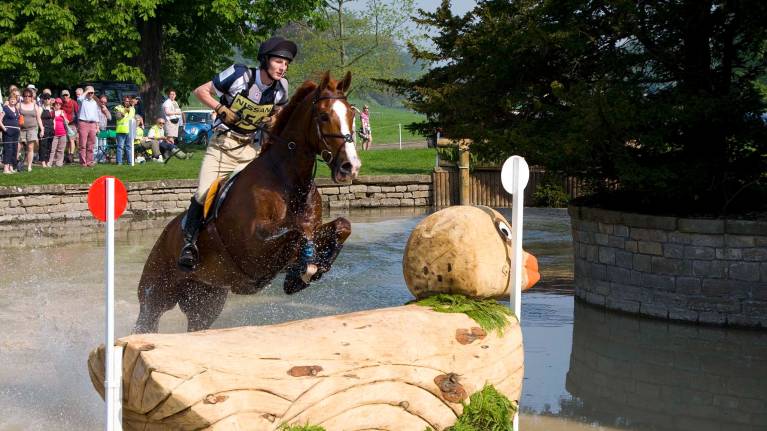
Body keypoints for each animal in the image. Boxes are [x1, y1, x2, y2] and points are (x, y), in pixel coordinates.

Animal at [134, 71, 362, 333]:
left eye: (351, 114)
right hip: (156, 293)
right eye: (324, 116)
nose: (350, 167)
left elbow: (341, 226)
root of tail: (164, 234)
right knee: (146, 321)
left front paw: (308, 272)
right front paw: (303, 270)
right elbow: (298, 232)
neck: (288, 179)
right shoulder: (253, 247)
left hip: (205, 300)